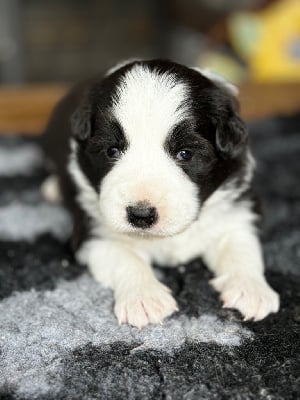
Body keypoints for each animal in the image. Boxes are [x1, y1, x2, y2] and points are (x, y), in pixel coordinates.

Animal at [41, 60, 280, 328]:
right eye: (112, 151)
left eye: (185, 153)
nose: (141, 215)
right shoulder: (94, 233)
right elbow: (126, 258)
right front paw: (144, 298)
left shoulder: (238, 210)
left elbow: (241, 247)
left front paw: (251, 290)